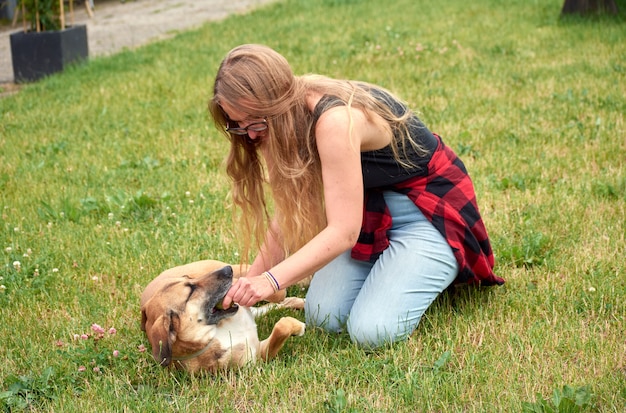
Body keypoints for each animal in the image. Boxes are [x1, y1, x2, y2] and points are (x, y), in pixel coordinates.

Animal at [142, 260, 308, 374]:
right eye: (190, 291)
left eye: (188, 278)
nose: (227, 270)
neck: (216, 331)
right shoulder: (258, 356)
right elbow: (281, 327)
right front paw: (299, 327)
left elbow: (278, 294)